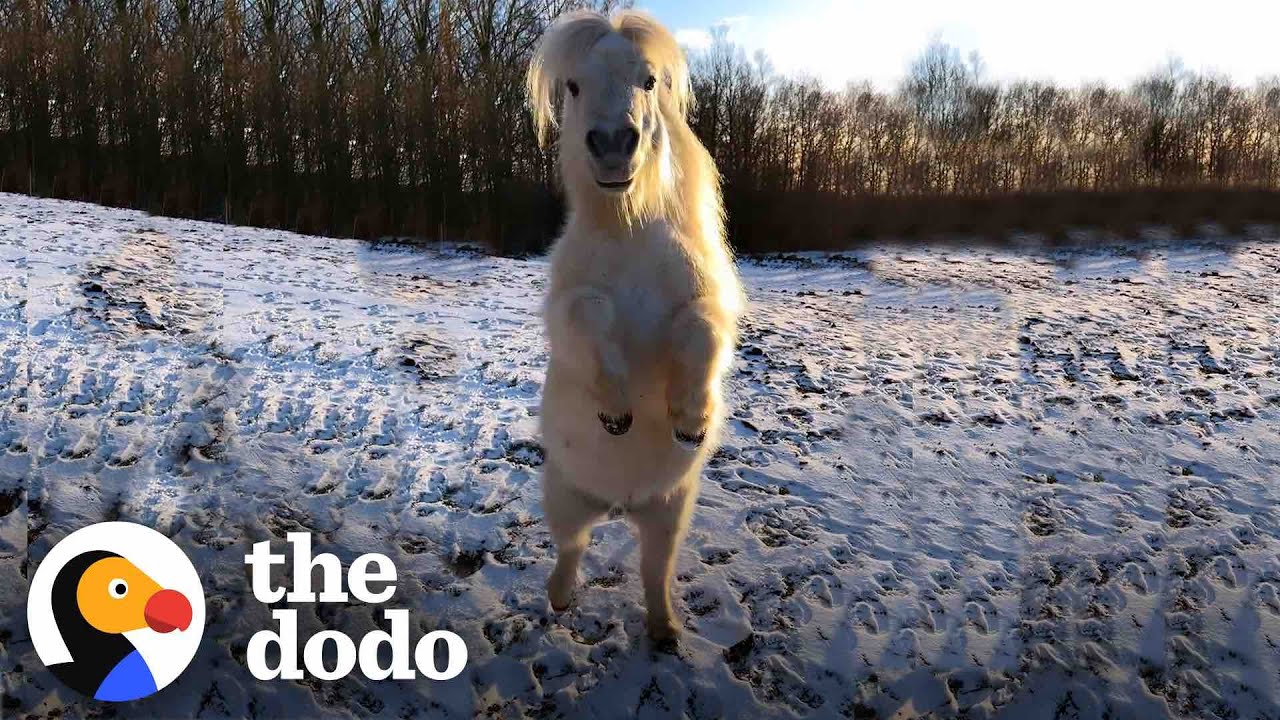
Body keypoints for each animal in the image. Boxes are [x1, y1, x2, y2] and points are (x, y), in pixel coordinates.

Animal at [527, 9, 744, 642]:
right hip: (565, 497)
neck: (631, 234)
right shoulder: (570, 311)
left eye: (648, 80)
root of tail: (619, 503)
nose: (612, 145)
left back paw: (665, 629)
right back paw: (560, 599)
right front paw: (617, 413)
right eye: (574, 86)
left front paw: (691, 420)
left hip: (670, 511)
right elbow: (592, 318)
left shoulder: (704, 302)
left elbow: (699, 333)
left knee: (655, 570)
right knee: (571, 549)